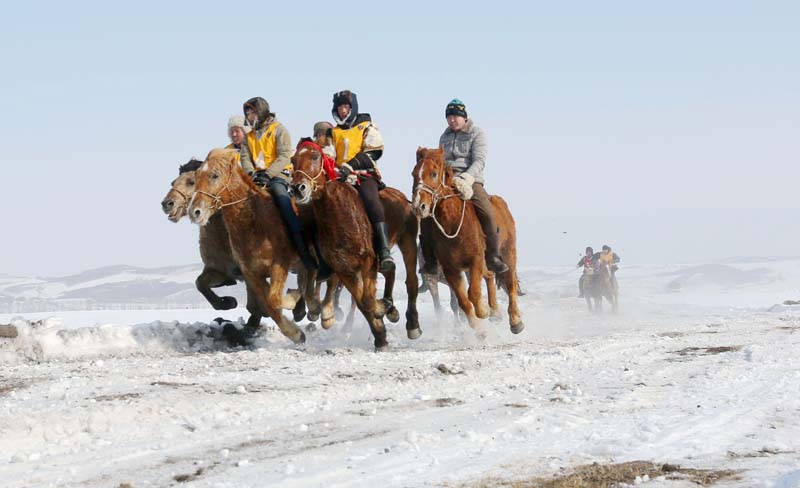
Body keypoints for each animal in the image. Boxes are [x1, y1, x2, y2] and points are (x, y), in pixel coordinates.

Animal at [189, 149, 318, 344]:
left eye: (215, 175)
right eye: (195, 177)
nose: (195, 212)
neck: (253, 220)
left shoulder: (279, 264)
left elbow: (273, 299)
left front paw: (292, 301)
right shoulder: (250, 273)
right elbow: (268, 304)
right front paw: (296, 333)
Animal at [290, 139, 422, 348]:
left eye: (315, 156)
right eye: (293, 160)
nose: (297, 188)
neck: (338, 215)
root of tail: (401, 197)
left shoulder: (367, 261)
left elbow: (366, 300)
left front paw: (380, 312)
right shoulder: (343, 269)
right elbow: (361, 302)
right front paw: (380, 335)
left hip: (407, 241)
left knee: (411, 282)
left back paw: (412, 325)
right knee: (390, 271)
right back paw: (391, 309)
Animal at [412, 146, 524, 336]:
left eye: (434, 173)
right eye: (414, 174)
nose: (419, 206)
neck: (453, 223)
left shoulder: (475, 261)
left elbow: (474, 293)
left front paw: (483, 311)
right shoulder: (451, 270)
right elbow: (463, 301)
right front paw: (480, 331)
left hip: (508, 254)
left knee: (510, 284)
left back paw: (515, 321)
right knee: (490, 277)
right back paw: (495, 312)